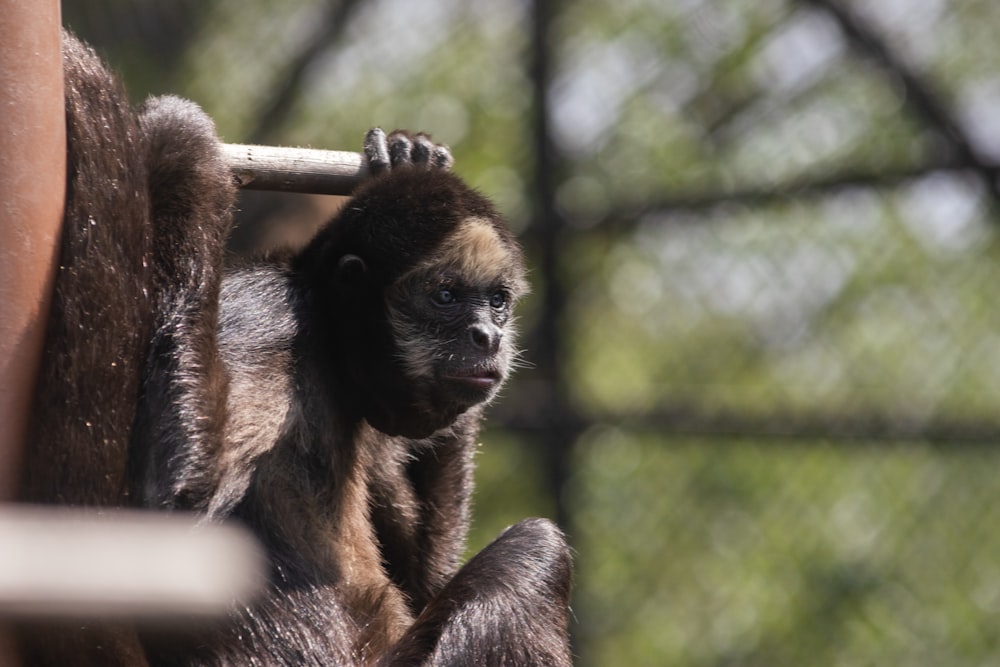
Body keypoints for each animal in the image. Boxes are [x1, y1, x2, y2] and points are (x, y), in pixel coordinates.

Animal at [19, 28, 576, 664]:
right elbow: (167, 512)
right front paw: (186, 149)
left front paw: (407, 154)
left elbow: (423, 580)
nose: (488, 336)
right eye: (446, 296)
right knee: (537, 547)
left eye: (498, 301)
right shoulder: (268, 315)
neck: (329, 355)